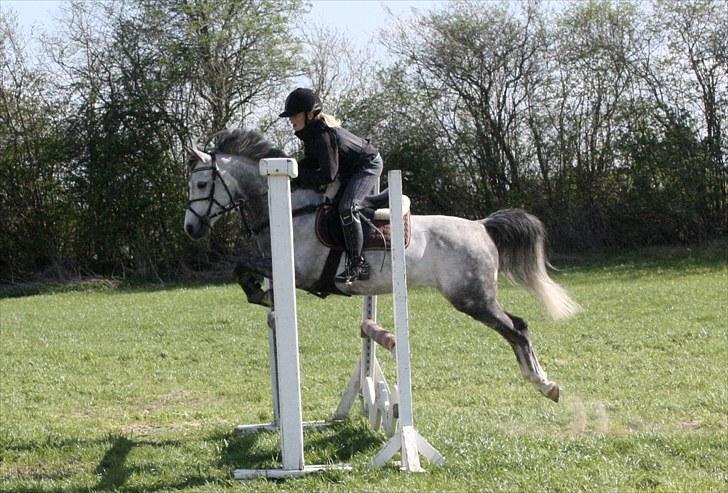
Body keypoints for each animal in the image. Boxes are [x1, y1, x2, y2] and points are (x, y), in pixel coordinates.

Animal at [184, 129, 580, 402]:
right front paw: (262, 296)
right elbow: (242, 269)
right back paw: (543, 382)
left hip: (472, 298)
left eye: (201, 183)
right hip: (476, 297)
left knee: (517, 329)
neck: (290, 211)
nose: (190, 229)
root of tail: (482, 226)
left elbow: (242, 267)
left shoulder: (300, 273)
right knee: (518, 325)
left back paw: (546, 385)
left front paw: (262, 295)